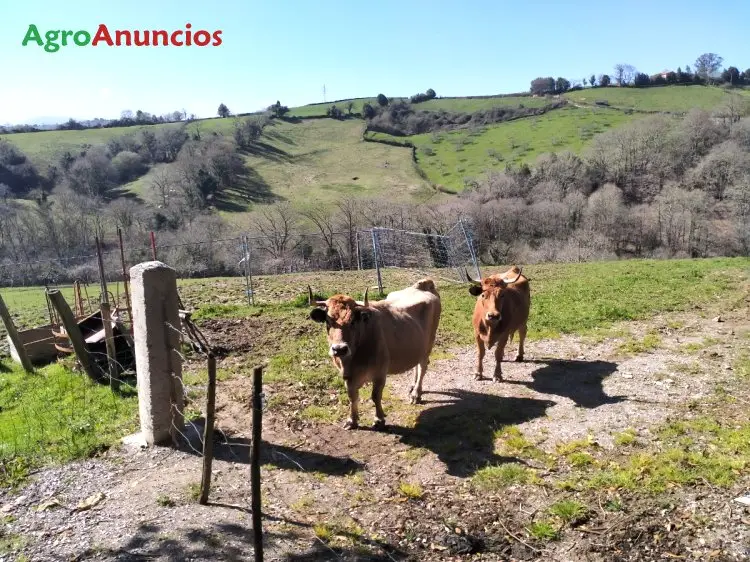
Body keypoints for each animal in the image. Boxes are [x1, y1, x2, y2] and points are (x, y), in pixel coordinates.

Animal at [308, 276, 444, 428]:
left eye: (353, 321)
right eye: (328, 321)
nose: (339, 349)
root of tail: (422, 285)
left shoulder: (380, 372)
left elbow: (375, 396)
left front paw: (379, 419)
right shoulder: (347, 376)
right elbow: (352, 396)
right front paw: (352, 420)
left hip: (428, 344)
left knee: (423, 367)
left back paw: (416, 394)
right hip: (417, 347)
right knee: (417, 365)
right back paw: (412, 387)